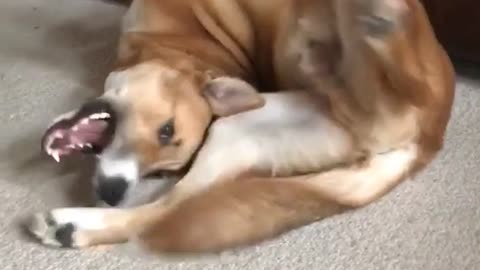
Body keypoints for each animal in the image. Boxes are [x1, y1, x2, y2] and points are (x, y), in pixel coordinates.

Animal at [29, 0, 454, 253]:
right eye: (159, 172)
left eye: (166, 131)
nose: (112, 192)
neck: (183, 42)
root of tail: (430, 140)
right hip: (247, 129)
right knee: (171, 209)